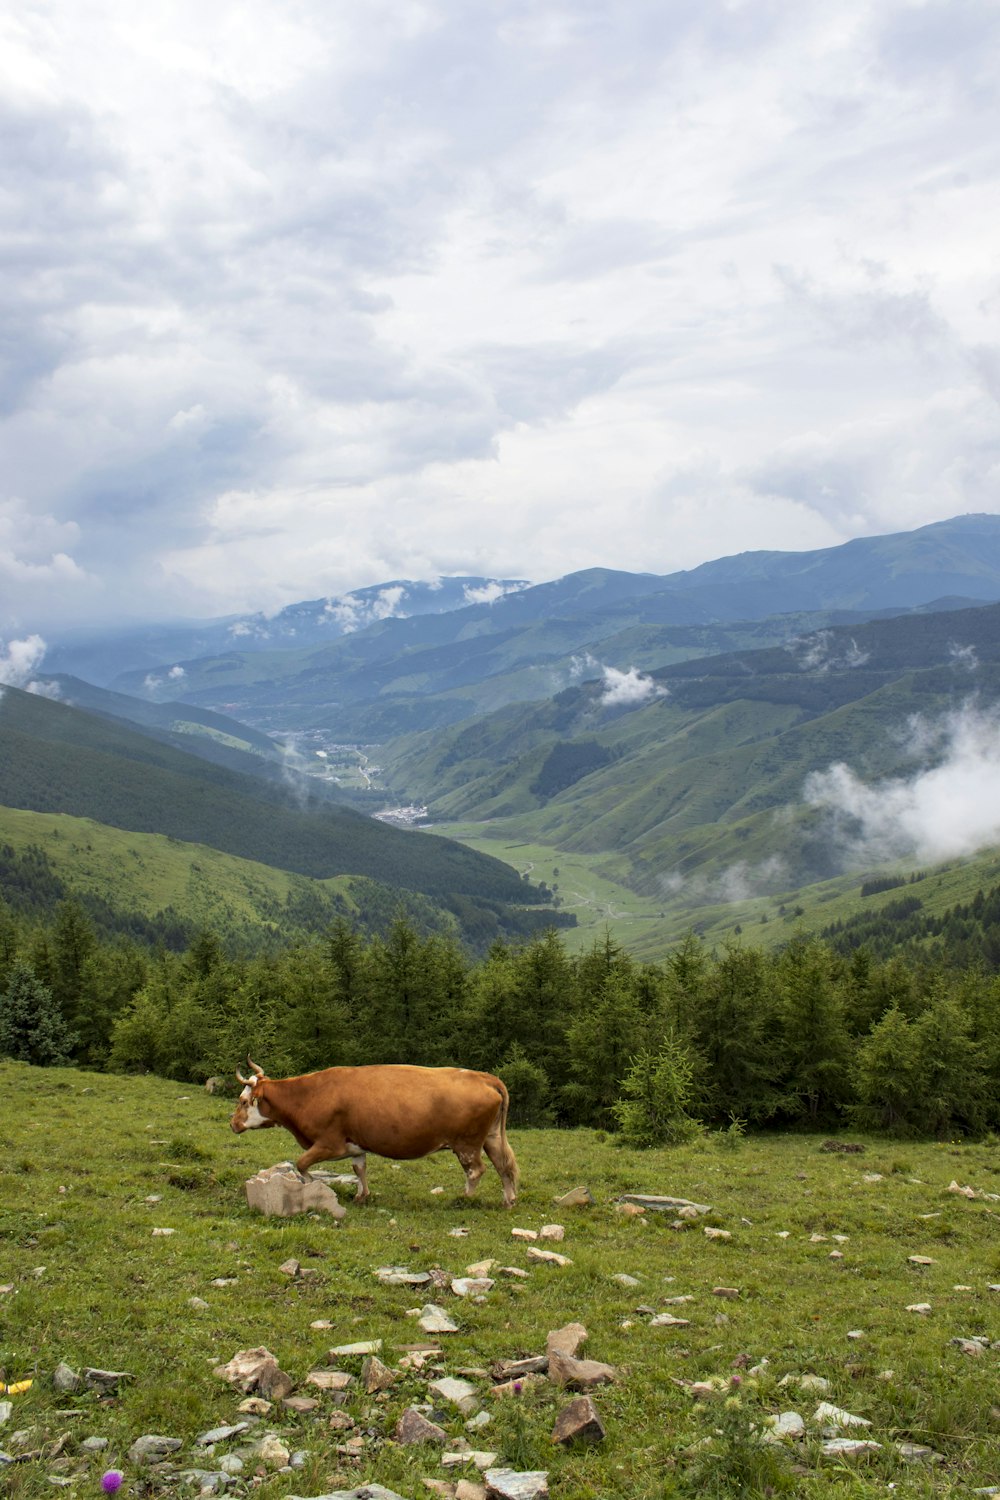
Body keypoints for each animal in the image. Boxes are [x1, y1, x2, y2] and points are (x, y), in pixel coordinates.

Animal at [229, 1056, 521, 1206]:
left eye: (243, 1101)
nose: (233, 1124)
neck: (307, 1095)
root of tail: (483, 1076)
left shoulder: (329, 1143)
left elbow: (302, 1164)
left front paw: (314, 1187)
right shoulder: (355, 1144)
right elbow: (359, 1169)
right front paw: (362, 1195)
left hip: (467, 1144)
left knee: (476, 1170)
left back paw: (464, 1198)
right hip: (491, 1138)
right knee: (504, 1166)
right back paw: (509, 1199)